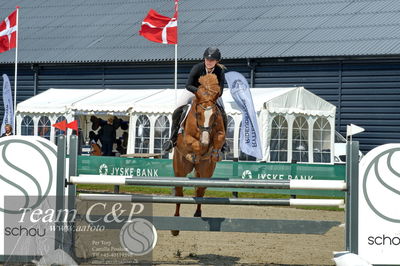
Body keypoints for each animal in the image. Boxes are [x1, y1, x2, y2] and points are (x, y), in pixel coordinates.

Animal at [171, 74, 225, 236]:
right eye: (198, 114)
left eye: (214, 115)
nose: (206, 139)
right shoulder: (187, 137)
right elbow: (195, 144)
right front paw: (195, 152)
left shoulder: (220, 132)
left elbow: (218, 139)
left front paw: (213, 152)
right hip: (180, 170)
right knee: (179, 194)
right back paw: (175, 226)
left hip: (206, 172)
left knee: (200, 190)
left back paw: (197, 213)